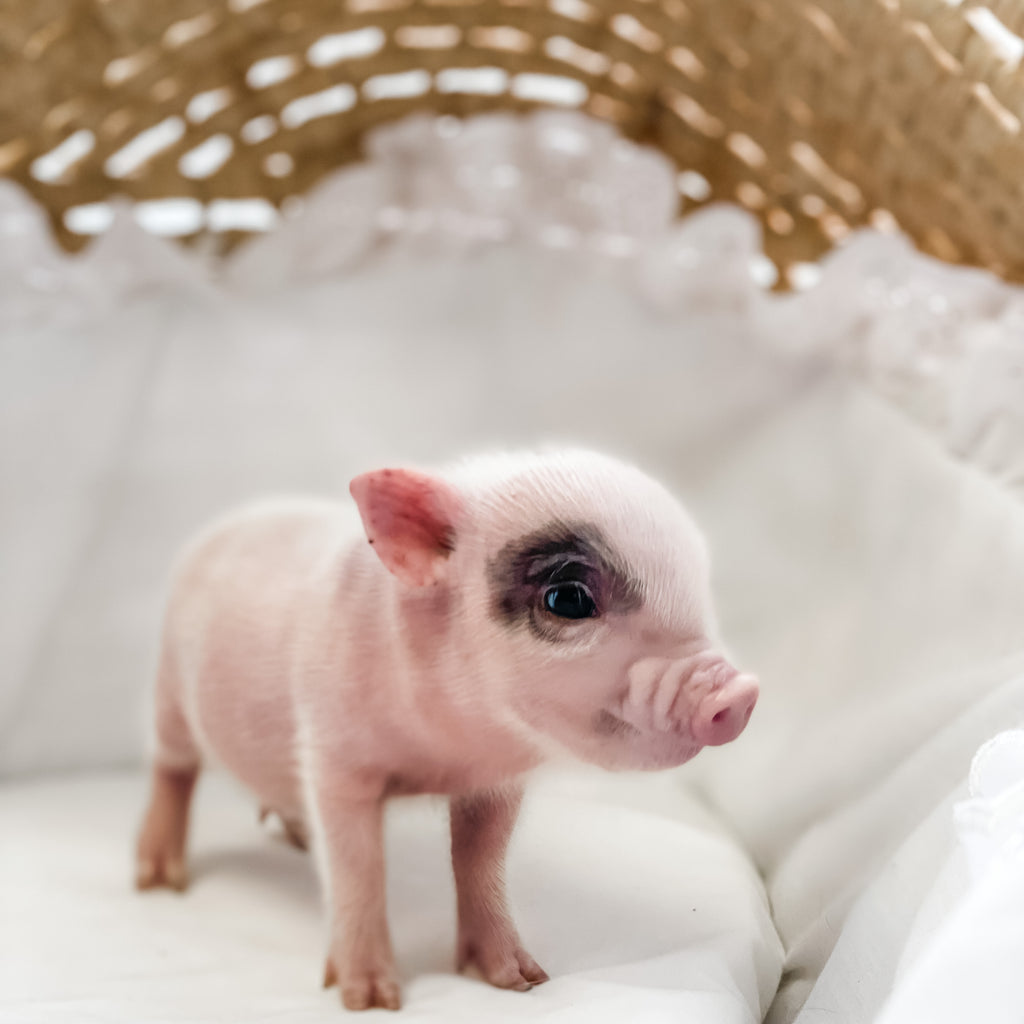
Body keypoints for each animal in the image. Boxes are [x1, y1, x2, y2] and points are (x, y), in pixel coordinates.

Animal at [135, 449, 758, 1010]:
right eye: (568, 598)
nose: (741, 693)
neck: (443, 753)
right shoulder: (334, 756)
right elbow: (357, 868)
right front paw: (371, 1000)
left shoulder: (497, 784)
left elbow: (481, 862)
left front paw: (523, 981)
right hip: (167, 691)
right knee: (173, 769)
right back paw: (157, 880)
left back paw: (294, 839)